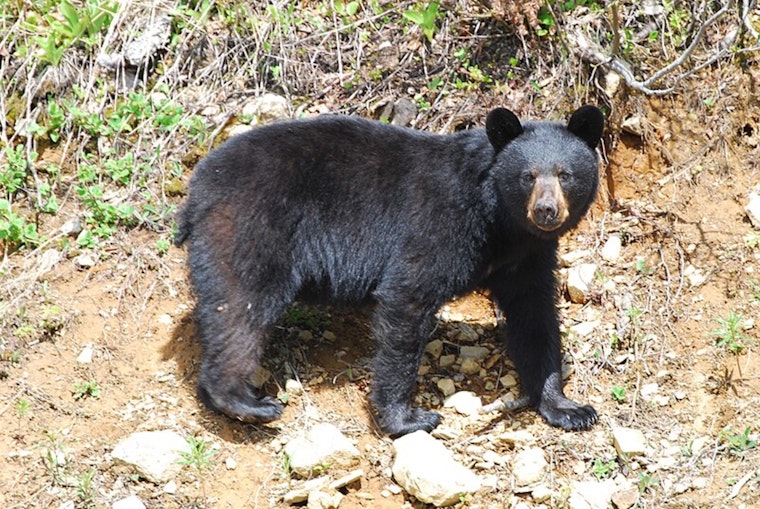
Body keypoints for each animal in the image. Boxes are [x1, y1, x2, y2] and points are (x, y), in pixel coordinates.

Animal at [174, 104, 605, 438]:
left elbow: (534, 317)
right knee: (242, 306)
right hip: (252, 225)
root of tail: (197, 189)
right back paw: (245, 401)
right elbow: (407, 298)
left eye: (565, 173)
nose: (546, 210)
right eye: (527, 176)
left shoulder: (527, 257)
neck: (500, 223)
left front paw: (567, 407)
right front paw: (408, 418)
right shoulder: (440, 225)